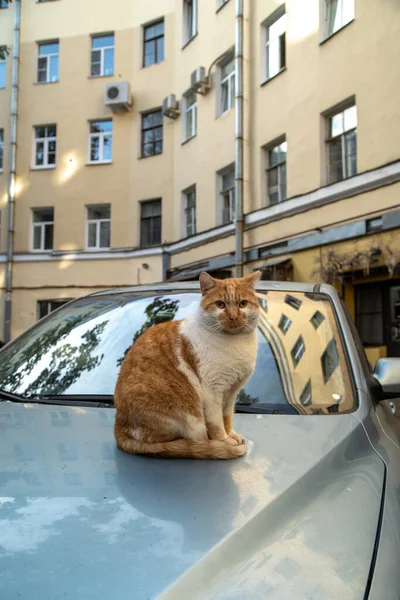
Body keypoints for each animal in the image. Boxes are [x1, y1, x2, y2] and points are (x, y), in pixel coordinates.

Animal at [114, 272, 260, 460]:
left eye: (243, 304)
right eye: (220, 304)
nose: (234, 317)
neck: (237, 343)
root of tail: (118, 427)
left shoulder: (231, 393)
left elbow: (227, 418)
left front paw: (232, 435)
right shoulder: (213, 391)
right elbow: (217, 423)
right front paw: (224, 441)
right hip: (186, 416)